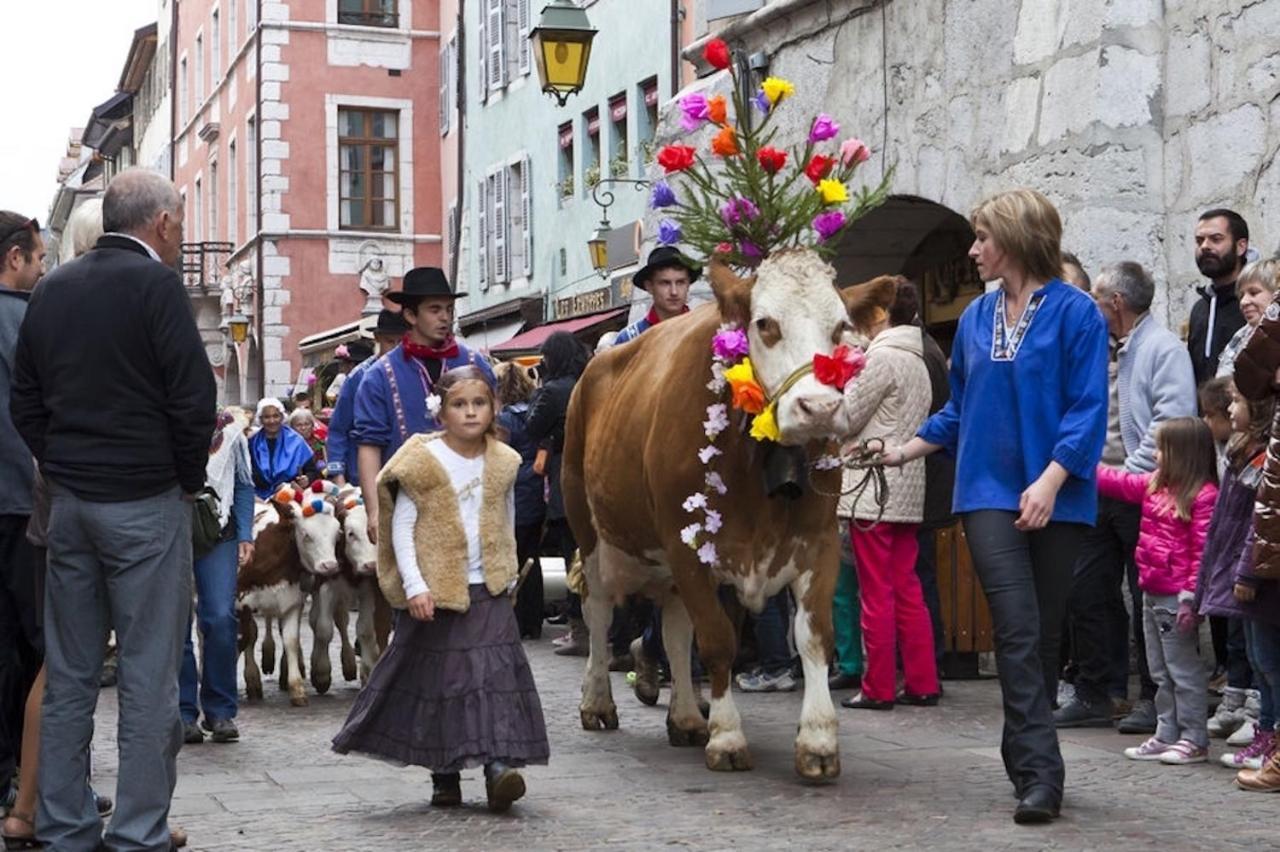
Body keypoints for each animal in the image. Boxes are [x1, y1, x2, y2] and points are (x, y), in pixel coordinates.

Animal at [565, 36, 896, 777]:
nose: (816, 407)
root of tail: (595, 363)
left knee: (670, 625)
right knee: (600, 613)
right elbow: (715, 639)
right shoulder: (693, 547)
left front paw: (817, 740)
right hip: (593, 528)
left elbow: (809, 637)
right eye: (764, 324)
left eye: (842, 328)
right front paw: (729, 737)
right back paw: (599, 702)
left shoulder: (814, 542)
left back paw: (686, 715)